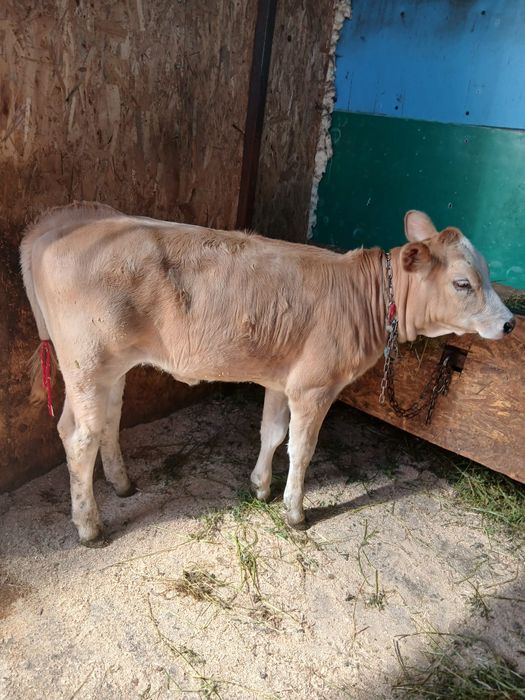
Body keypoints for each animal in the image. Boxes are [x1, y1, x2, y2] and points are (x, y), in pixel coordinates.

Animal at [20, 203, 515, 546]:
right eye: (463, 283)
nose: (510, 323)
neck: (366, 297)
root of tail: (55, 224)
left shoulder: (284, 379)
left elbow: (272, 434)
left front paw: (260, 487)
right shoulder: (315, 386)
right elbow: (302, 449)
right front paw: (295, 512)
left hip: (110, 366)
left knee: (109, 418)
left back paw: (122, 484)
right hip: (86, 362)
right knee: (78, 435)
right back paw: (89, 526)